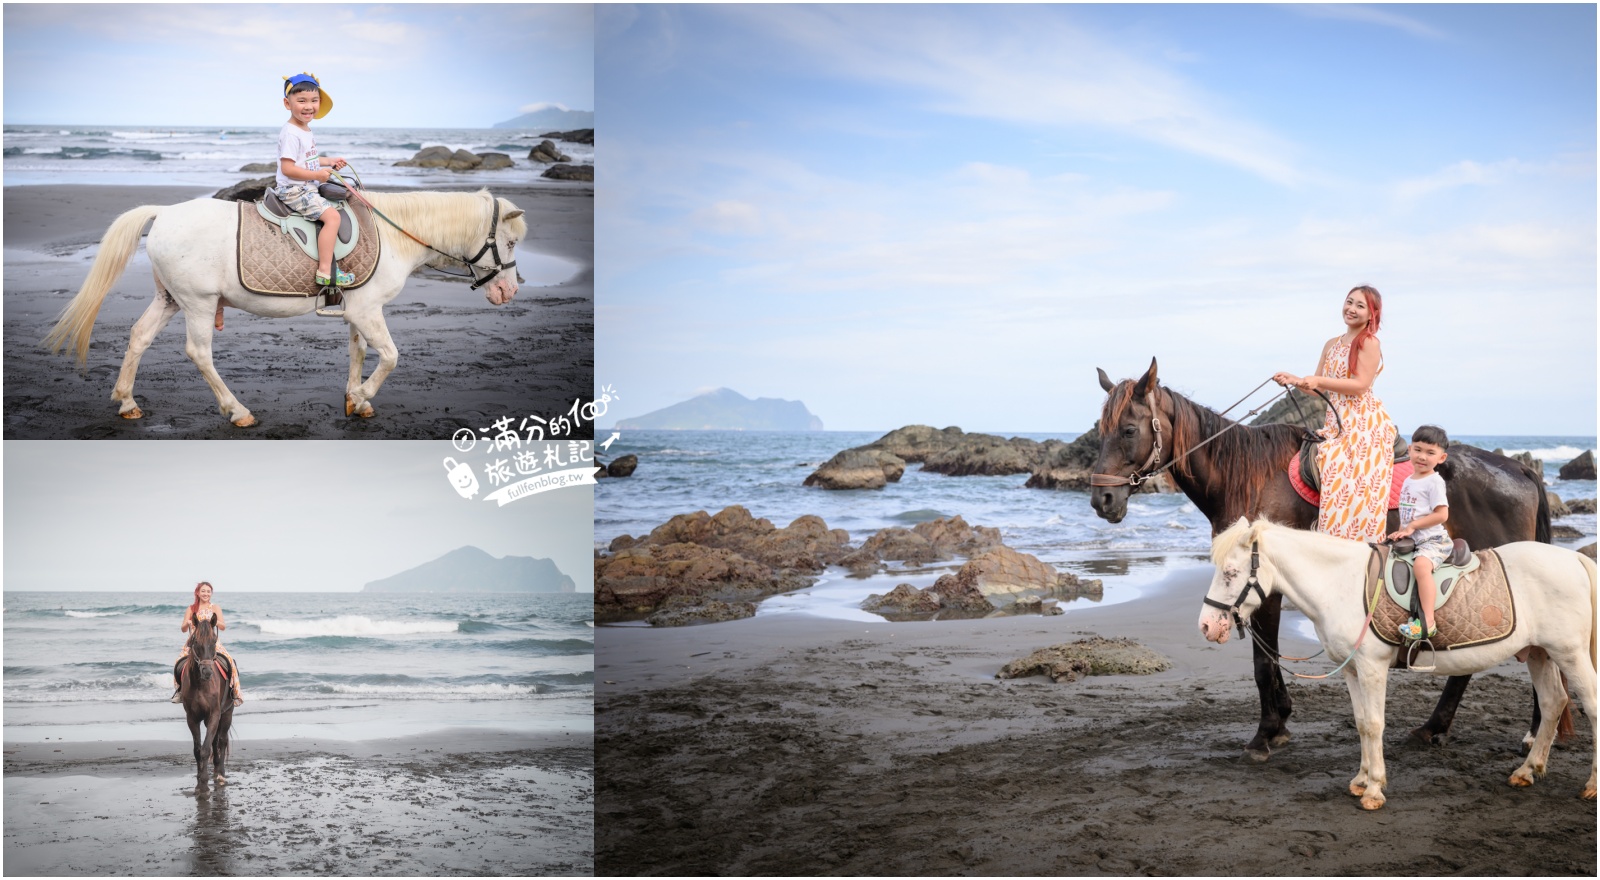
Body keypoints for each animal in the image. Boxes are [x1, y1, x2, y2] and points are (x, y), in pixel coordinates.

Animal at [42, 188, 524, 427]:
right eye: (511, 242)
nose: (509, 292)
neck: (395, 234)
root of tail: (163, 214)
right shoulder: (368, 312)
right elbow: (389, 356)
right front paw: (362, 397)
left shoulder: (359, 312)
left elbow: (359, 352)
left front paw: (355, 401)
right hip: (198, 304)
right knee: (200, 353)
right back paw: (238, 411)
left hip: (170, 299)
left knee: (139, 337)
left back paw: (127, 402)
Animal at [178, 616, 235, 789]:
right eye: (195, 641)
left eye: (214, 640)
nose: (207, 671)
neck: (200, 684)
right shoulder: (192, 718)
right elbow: (198, 750)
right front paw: (199, 776)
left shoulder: (214, 715)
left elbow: (205, 748)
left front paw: (204, 779)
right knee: (216, 741)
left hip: (227, 713)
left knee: (221, 741)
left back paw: (220, 773)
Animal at [1090, 358, 1556, 761]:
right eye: (1100, 431)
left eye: (1128, 430)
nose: (1101, 500)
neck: (1249, 476)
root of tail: (1520, 469)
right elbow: (1267, 657)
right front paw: (1280, 720)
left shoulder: (1268, 582)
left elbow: (1263, 661)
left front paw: (1265, 733)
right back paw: (1443, 728)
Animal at [1198, 518, 1596, 810]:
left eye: (1231, 573)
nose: (1206, 625)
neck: (1339, 583)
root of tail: (1573, 559)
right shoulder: (1353, 670)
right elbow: (1362, 724)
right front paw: (1361, 781)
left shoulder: (1372, 668)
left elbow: (1375, 725)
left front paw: (1375, 789)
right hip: (1540, 653)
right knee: (1553, 703)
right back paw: (1528, 770)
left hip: (1570, 653)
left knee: (1590, 706)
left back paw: (1590, 785)